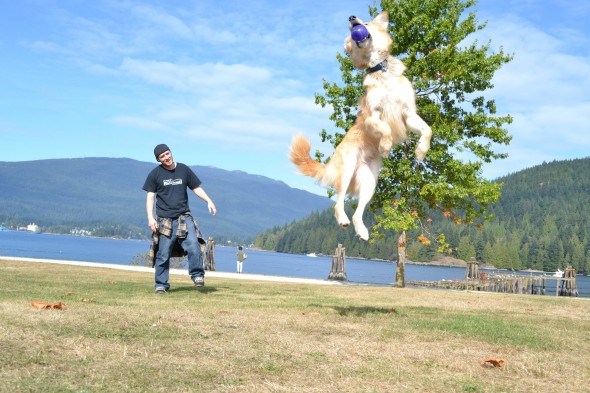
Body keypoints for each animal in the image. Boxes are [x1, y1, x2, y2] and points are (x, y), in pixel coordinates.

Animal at [290, 11, 432, 239]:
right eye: (350, 31)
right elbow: (385, 129)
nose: (352, 18)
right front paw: (385, 146)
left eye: (365, 23)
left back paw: (363, 232)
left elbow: (427, 130)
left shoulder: (409, 114)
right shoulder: (372, 116)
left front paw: (420, 151)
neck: (382, 71)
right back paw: (343, 220)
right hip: (347, 169)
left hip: (370, 183)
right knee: (338, 202)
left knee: (358, 212)